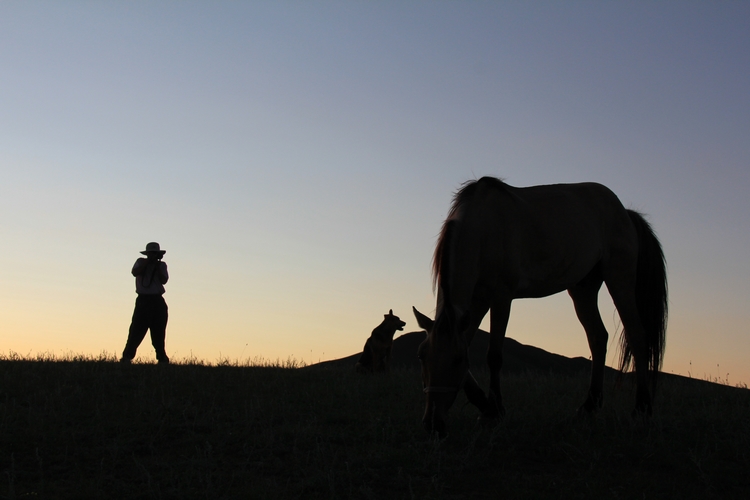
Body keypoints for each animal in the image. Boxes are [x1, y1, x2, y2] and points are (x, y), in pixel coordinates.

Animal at [420, 178, 672, 436]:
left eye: (456, 361)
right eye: (422, 357)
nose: (432, 424)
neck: (485, 226)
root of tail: (625, 213)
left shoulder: (501, 297)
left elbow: (494, 356)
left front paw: (493, 411)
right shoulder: (476, 302)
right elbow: (469, 344)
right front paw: (486, 405)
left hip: (619, 279)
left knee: (637, 335)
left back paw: (641, 408)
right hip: (583, 289)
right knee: (598, 337)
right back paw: (589, 406)